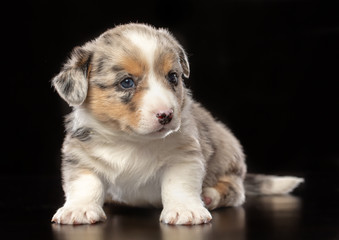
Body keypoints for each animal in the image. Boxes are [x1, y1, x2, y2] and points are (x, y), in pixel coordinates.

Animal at [51, 23, 306, 226]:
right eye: (126, 82)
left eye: (173, 77)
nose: (166, 115)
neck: (131, 141)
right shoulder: (81, 157)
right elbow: (86, 184)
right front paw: (78, 210)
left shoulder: (184, 158)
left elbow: (178, 185)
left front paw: (186, 211)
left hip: (229, 157)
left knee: (236, 190)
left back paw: (210, 196)